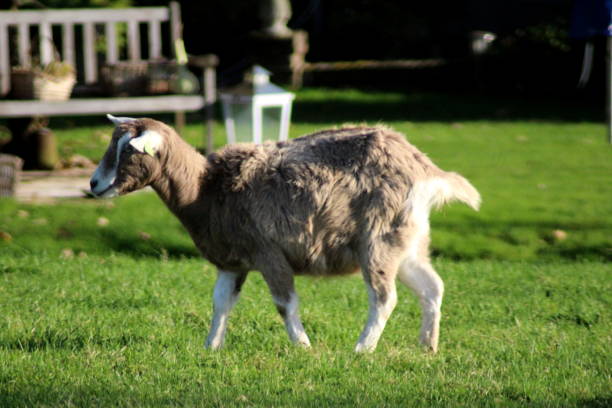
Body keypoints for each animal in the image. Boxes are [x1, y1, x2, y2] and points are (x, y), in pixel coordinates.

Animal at [92, 115, 482, 354]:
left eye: (129, 150)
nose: (94, 184)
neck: (205, 189)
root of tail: (425, 169)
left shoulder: (269, 253)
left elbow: (284, 303)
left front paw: (303, 346)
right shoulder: (232, 262)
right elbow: (221, 303)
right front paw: (211, 347)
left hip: (378, 240)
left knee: (385, 297)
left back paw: (361, 349)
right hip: (408, 242)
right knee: (431, 287)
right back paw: (427, 346)